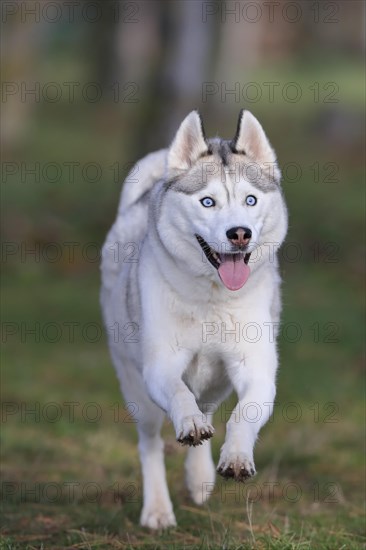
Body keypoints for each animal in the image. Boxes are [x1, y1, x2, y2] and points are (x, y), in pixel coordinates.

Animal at [101, 111, 288, 532]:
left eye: (250, 199)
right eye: (208, 202)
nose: (239, 234)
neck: (212, 300)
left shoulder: (255, 370)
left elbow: (242, 415)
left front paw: (235, 457)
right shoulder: (160, 367)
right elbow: (179, 395)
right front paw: (187, 423)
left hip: (216, 382)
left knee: (209, 409)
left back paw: (200, 477)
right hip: (136, 390)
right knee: (150, 443)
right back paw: (157, 509)